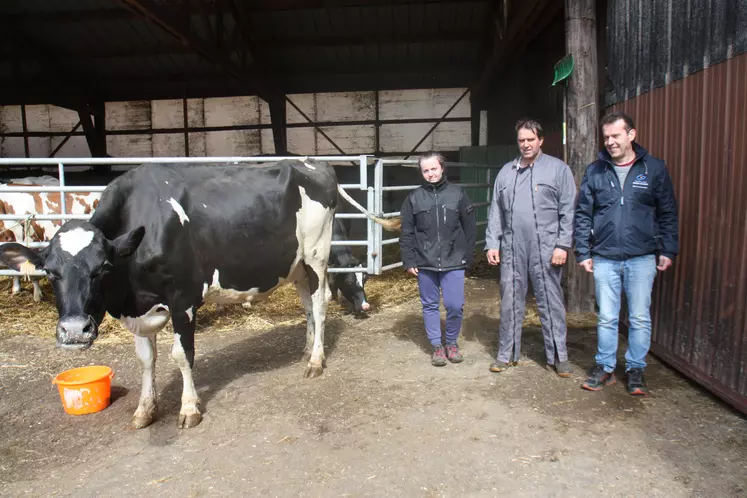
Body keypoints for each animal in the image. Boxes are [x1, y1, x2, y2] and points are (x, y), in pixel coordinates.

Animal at [0, 159, 388, 428]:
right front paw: (145, 410)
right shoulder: (138, 310)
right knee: (307, 305)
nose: (74, 331)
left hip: (316, 254)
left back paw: (315, 361)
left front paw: (188, 408)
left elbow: (182, 355)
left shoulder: (182, 299)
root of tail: (312, 162)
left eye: (103, 268)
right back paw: (307, 348)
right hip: (294, 264)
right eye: (50, 271)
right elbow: (146, 360)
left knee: (320, 305)